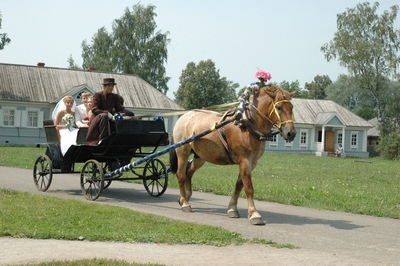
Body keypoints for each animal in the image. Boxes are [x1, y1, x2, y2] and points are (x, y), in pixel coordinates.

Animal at [167, 84, 296, 224]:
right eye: (279, 107)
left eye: (291, 107)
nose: (291, 133)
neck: (247, 124)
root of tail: (183, 117)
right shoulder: (244, 160)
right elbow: (248, 188)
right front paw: (254, 213)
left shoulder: (251, 162)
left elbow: (239, 185)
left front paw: (232, 208)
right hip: (182, 152)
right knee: (181, 175)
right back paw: (185, 203)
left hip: (200, 156)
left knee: (189, 171)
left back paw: (185, 197)